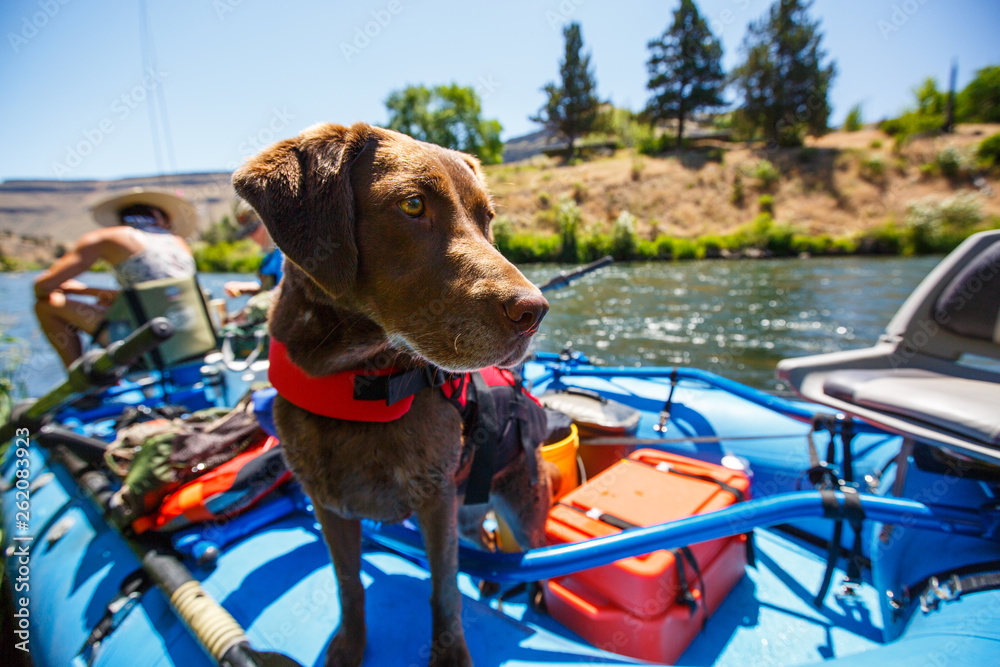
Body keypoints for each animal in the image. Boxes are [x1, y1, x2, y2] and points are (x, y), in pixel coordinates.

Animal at [236, 122, 556, 664]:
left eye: (487, 218)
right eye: (412, 205)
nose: (534, 311)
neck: (358, 383)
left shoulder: (436, 499)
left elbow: (444, 590)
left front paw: (449, 654)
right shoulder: (328, 505)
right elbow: (348, 583)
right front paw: (350, 646)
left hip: (521, 506)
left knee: (531, 561)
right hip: (471, 510)